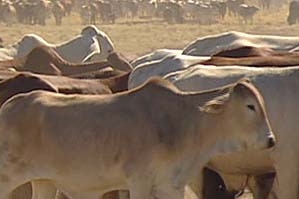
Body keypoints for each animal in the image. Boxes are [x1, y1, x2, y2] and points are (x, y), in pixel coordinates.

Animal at [0, 77, 276, 199]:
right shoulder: (139, 181)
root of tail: (8, 107)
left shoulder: (170, 185)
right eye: (250, 106)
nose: (271, 140)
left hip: (44, 181)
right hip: (7, 179)